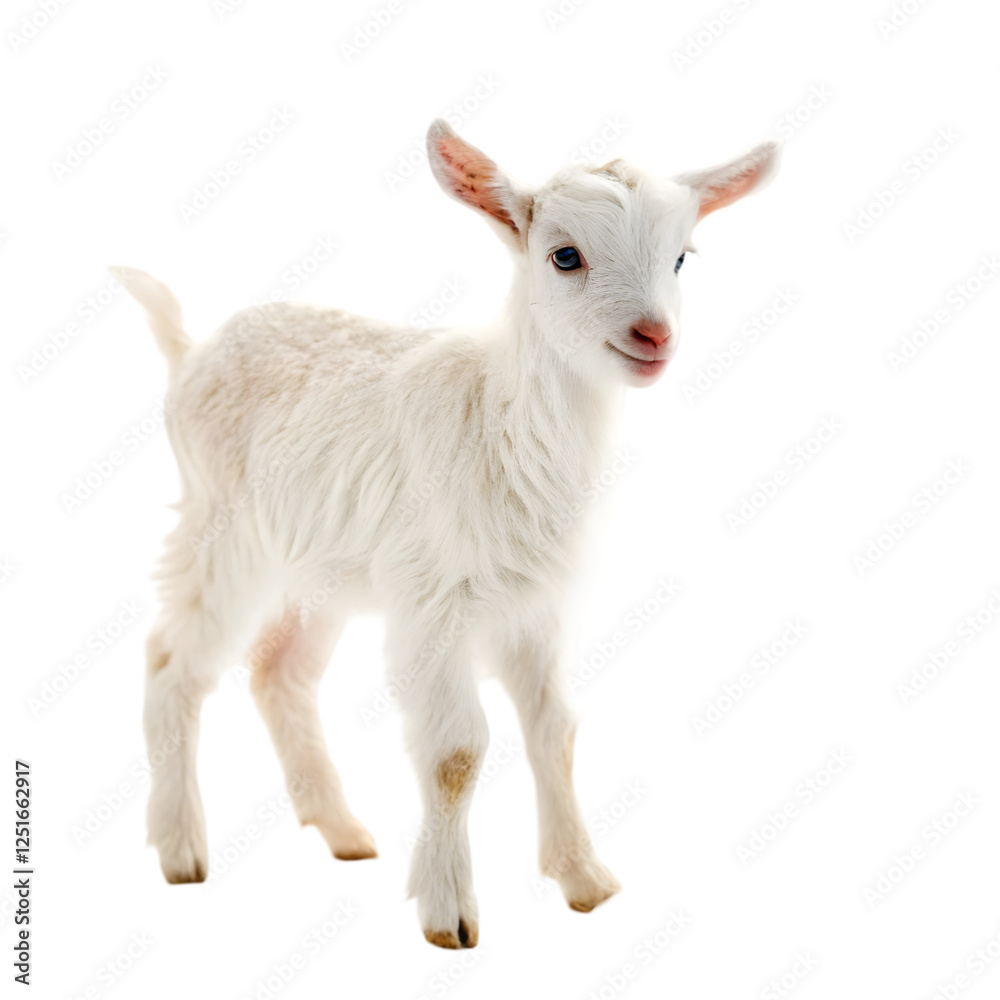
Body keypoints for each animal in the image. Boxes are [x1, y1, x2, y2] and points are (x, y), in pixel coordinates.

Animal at [113, 118, 780, 950]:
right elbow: (457, 752)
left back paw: (341, 830)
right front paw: (450, 914)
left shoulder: (533, 603)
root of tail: (191, 350)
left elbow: (555, 730)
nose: (653, 335)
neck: (500, 418)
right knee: (172, 659)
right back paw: (181, 849)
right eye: (565, 255)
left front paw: (583, 878)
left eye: (682, 255)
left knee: (277, 669)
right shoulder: (434, 598)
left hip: (327, 567)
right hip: (223, 528)